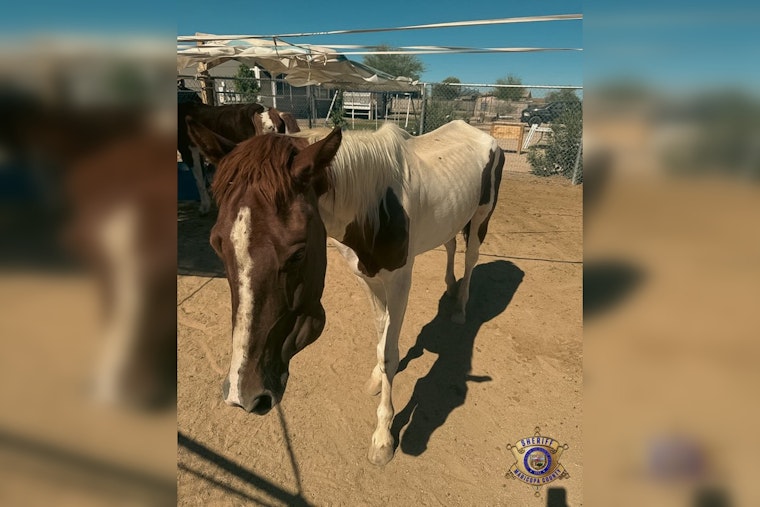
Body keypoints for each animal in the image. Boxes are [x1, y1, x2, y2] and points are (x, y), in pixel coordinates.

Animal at [186, 120, 504, 465]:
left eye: (298, 253)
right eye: (217, 245)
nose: (243, 396)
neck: (376, 205)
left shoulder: (399, 281)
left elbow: (389, 351)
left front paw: (383, 437)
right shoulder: (367, 277)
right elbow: (381, 334)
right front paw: (377, 379)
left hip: (481, 218)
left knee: (471, 256)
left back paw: (460, 306)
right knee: (450, 244)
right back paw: (449, 286)